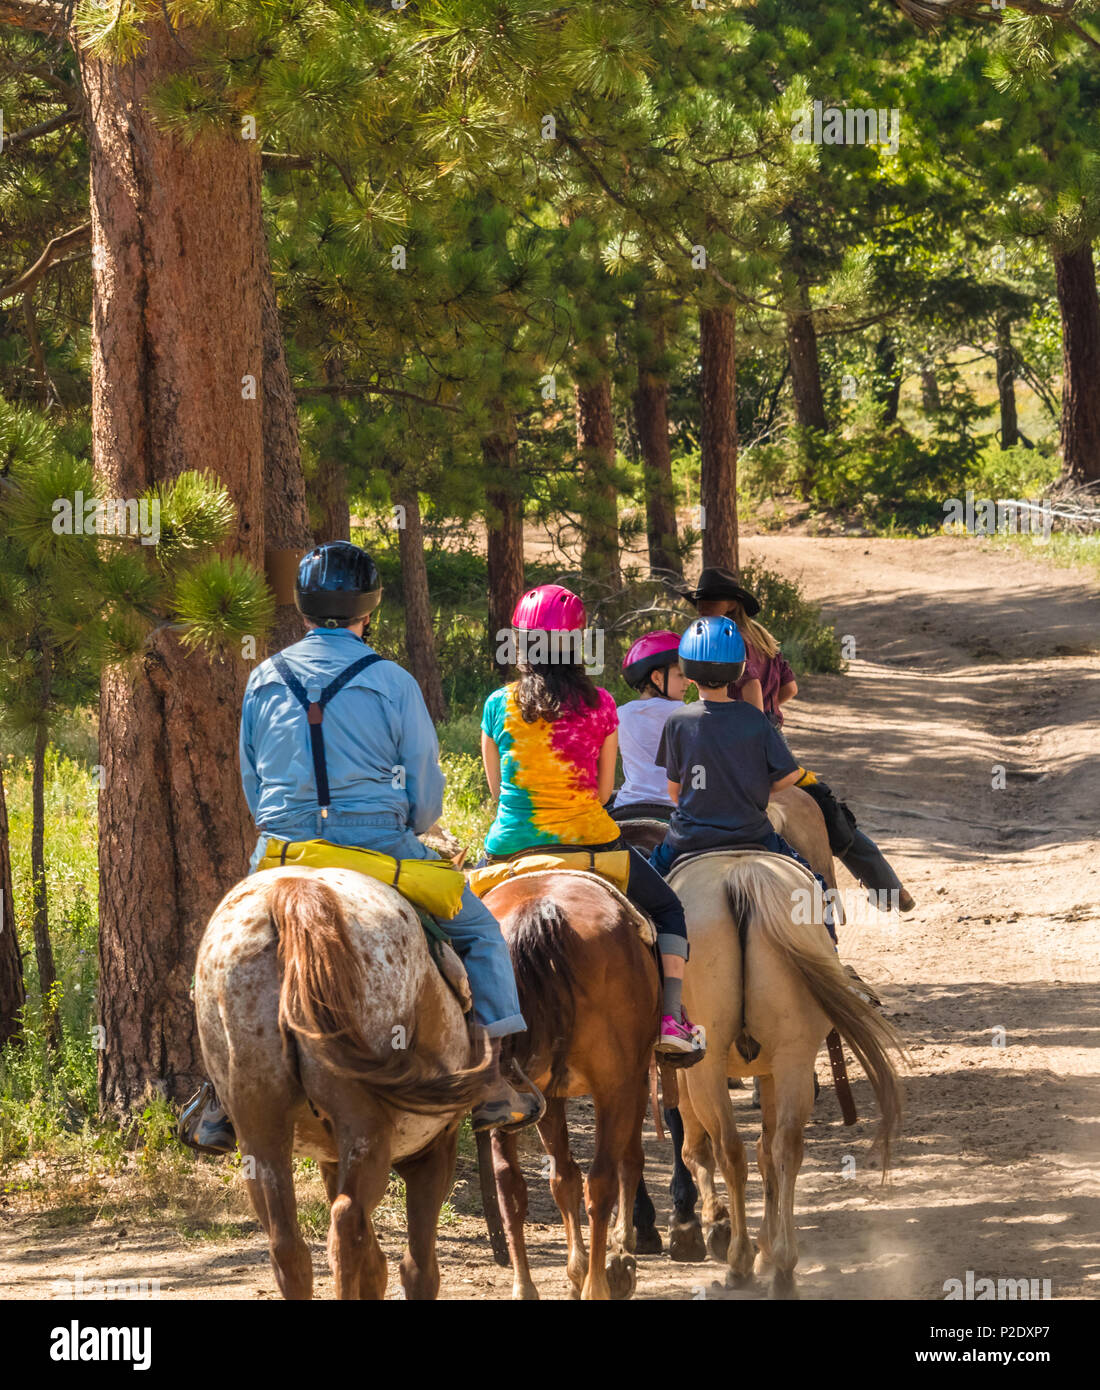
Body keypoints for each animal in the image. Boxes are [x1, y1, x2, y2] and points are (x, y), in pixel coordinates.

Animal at [196, 867, 489, 1301]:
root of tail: (295, 893)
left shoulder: (331, 1158)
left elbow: (376, 1265)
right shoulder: (434, 1149)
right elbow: (417, 1268)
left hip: (259, 1131)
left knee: (288, 1246)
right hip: (366, 1127)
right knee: (346, 1226)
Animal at [483, 867, 659, 1301]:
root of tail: (537, 912)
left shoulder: (546, 1095)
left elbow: (562, 1178)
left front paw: (578, 1269)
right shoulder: (631, 1078)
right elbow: (626, 1160)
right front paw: (620, 1252)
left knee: (510, 1185)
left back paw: (525, 1286)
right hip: (615, 1086)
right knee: (602, 1179)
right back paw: (599, 1284)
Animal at [670, 850, 901, 1295]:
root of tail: (741, 878)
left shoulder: (688, 1071)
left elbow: (695, 1148)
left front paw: (712, 1224)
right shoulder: (772, 1072)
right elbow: (766, 1152)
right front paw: (763, 1242)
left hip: (710, 1066)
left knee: (729, 1149)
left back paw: (739, 1262)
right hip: (793, 1057)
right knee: (786, 1147)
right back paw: (782, 1266)